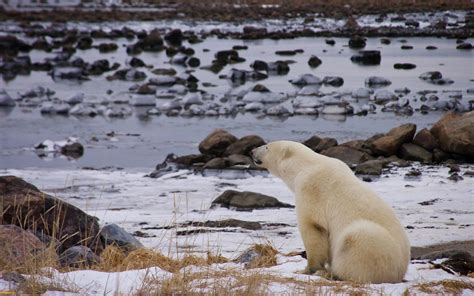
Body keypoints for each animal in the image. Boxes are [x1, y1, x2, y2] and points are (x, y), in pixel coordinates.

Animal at [250, 141, 410, 284]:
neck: (305, 166)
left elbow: (313, 227)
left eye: (267, 146)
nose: (252, 151)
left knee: (355, 240)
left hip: (376, 246)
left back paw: (330, 274)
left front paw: (307, 270)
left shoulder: (310, 187)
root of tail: (400, 272)